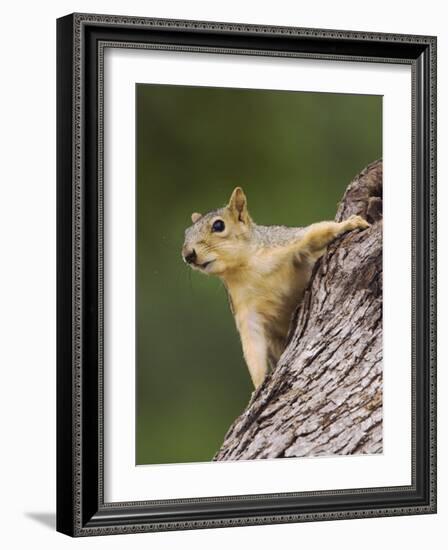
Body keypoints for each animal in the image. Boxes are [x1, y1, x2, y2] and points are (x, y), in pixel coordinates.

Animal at [180, 188, 370, 390]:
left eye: (218, 225)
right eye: (186, 233)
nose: (188, 255)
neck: (246, 268)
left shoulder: (285, 243)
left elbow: (316, 232)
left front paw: (350, 223)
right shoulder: (245, 309)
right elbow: (252, 345)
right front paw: (258, 385)